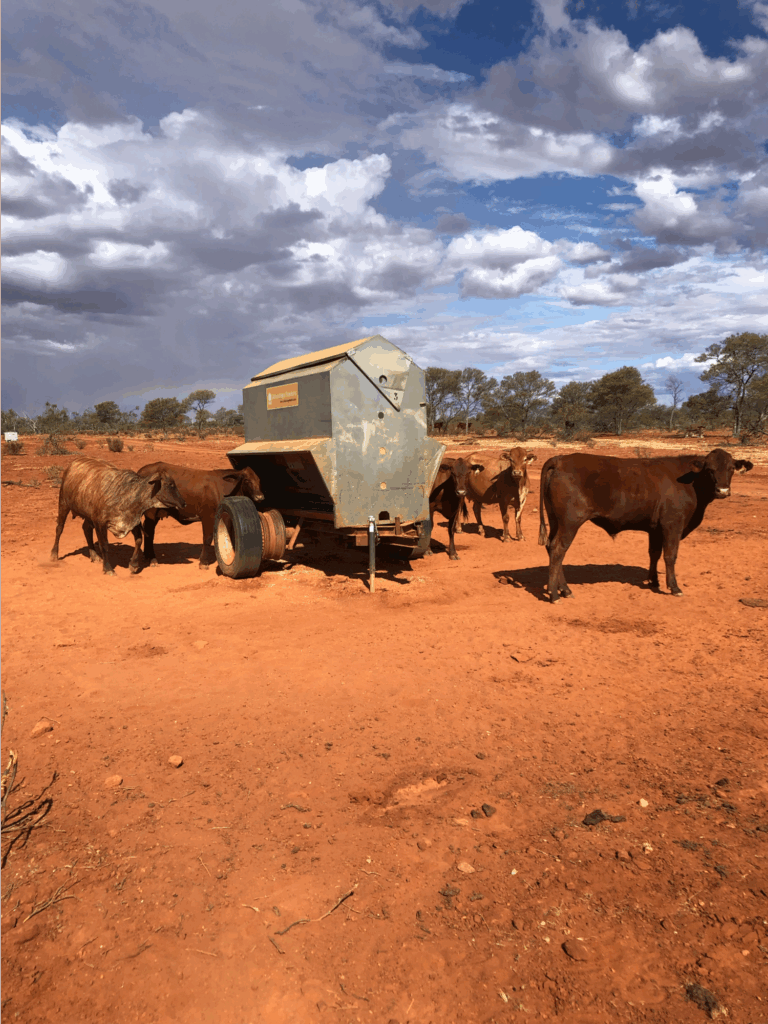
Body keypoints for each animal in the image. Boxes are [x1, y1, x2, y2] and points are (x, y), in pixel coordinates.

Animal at [50, 457, 186, 575]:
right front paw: (108, 568)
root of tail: (73, 463)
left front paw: (133, 564)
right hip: (63, 503)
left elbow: (139, 540)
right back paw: (54, 554)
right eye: (171, 484)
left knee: (86, 529)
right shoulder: (100, 523)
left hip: (88, 515)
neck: (127, 495)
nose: (183, 503)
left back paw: (94, 555)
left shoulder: (132, 522)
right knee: (59, 528)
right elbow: (104, 545)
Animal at [136, 463, 264, 569]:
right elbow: (207, 538)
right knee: (149, 533)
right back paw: (152, 559)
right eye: (247, 480)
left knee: (148, 531)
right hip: (151, 512)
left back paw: (147, 556)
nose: (260, 497)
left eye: (259, 480)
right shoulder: (208, 516)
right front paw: (203, 562)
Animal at [538, 448, 753, 603]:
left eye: (732, 469)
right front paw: (674, 587)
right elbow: (670, 556)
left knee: (551, 548)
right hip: (570, 522)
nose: (723, 490)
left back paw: (564, 590)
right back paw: (555, 595)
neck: (690, 482)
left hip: (556, 521)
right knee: (558, 550)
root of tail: (560, 459)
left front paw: (654, 581)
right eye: (710, 470)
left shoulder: (655, 529)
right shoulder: (673, 525)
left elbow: (654, 554)